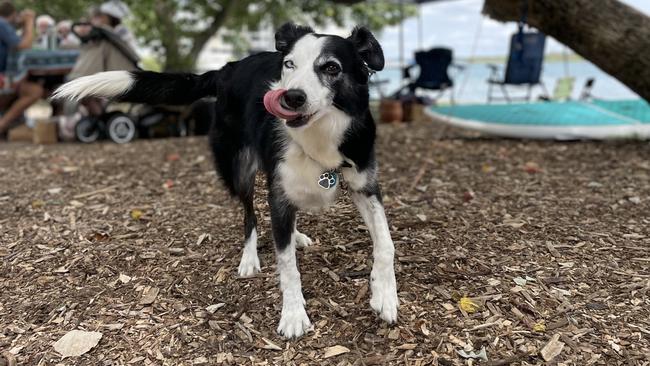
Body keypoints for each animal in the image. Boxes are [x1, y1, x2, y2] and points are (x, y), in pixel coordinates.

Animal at [53, 22, 398, 338]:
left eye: (331, 68)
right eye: (289, 64)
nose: (291, 98)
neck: (320, 135)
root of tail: (226, 69)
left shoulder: (366, 186)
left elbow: (385, 243)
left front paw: (384, 295)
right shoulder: (278, 190)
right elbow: (287, 265)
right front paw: (293, 314)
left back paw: (296, 234)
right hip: (239, 169)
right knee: (250, 216)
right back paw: (250, 258)